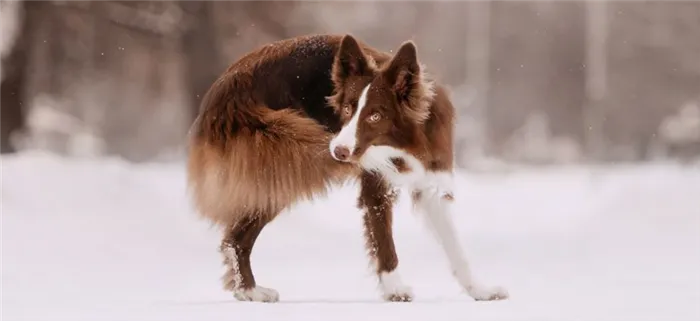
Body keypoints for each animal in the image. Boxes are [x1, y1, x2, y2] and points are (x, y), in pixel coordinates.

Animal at [186, 33, 506, 302]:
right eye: (348, 110)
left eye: (375, 115)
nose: (338, 151)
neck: (403, 144)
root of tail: (222, 89)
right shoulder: (376, 186)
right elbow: (383, 241)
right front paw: (395, 290)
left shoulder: (431, 181)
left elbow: (455, 245)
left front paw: (479, 290)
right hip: (286, 157)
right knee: (237, 237)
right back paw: (250, 291)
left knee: (236, 237)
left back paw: (247, 290)